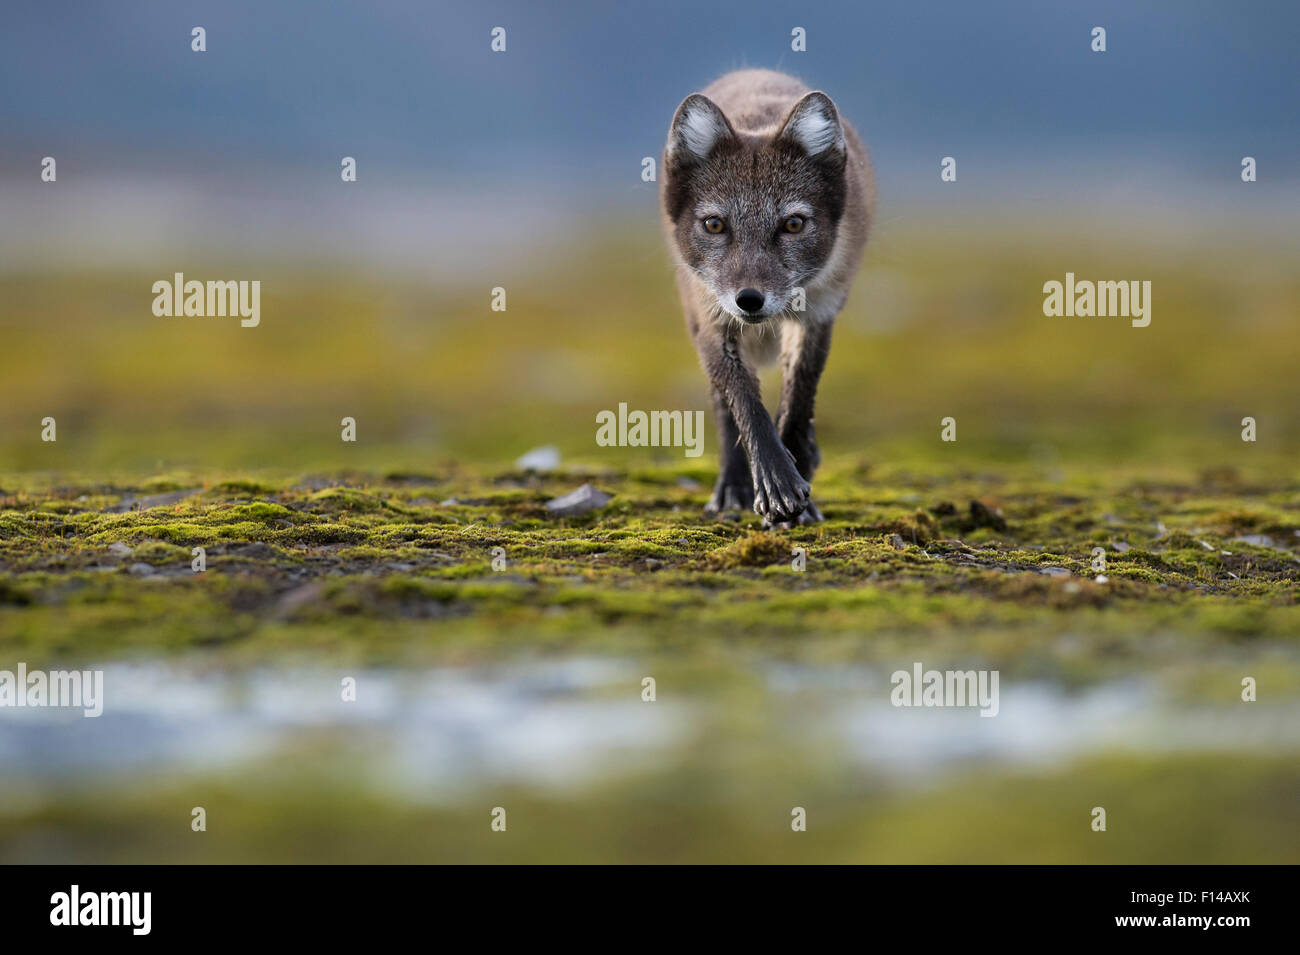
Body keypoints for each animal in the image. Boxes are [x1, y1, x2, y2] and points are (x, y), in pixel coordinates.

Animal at [660, 70, 873, 527]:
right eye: (715, 224)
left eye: (793, 224)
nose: (750, 300)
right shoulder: (712, 317)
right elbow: (744, 403)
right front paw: (774, 480)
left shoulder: (818, 315)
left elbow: (797, 400)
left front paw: (798, 484)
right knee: (723, 406)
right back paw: (732, 487)